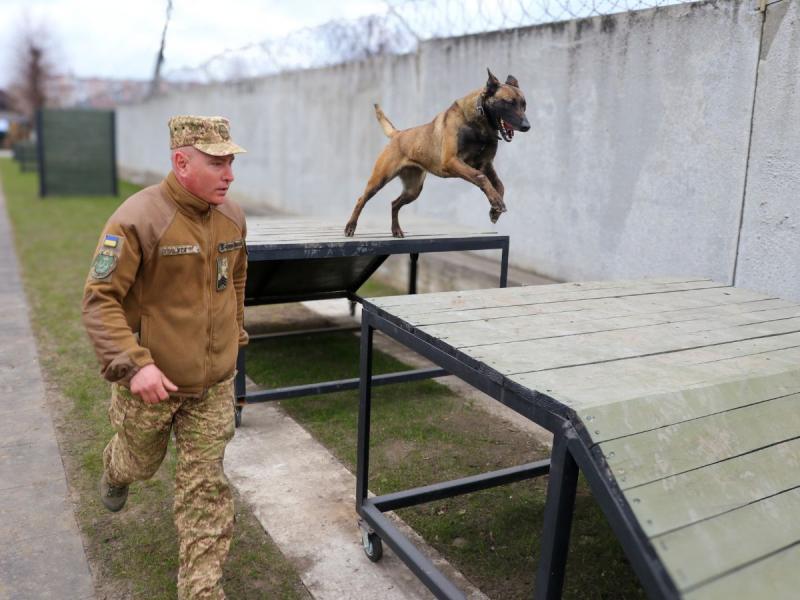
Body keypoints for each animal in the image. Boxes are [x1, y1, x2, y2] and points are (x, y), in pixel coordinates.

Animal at [344, 69, 530, 238]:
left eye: (524, 104)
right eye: (509, 102)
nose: (527, 126)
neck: (479, 123)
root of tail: (398, 134)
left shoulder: (486, 165)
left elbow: (500, 185)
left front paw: (495, 209)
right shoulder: (452, 162)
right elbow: (480, 177)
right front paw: (496, 202)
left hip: (413, 190)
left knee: (394, 204)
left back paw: (396, 230)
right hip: (379, 180)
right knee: (361, 199)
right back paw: (350, 227)